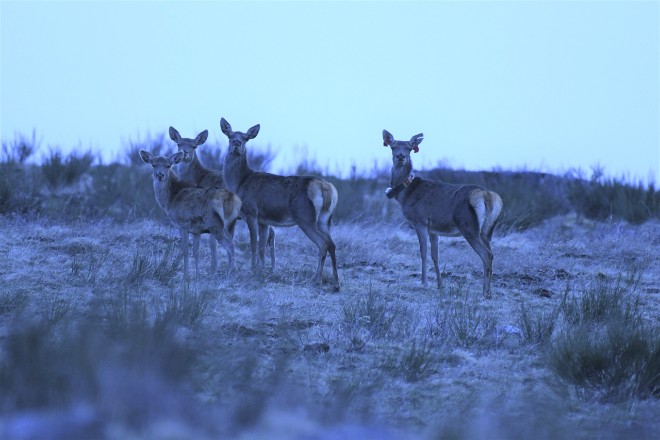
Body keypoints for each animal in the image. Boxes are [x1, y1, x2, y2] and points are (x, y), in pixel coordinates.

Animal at [139, 148, 242, 278]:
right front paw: (197, 275)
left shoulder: (182, 224)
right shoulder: (196, 230)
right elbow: (196, 252)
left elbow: (185, 251)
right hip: (230, 224)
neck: (171, 200)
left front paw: (186, 276)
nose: (160, 175)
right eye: (153, 164)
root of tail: (232, 199)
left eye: (168, 165)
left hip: (215, 224)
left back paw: (230, 273)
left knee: (230, 246)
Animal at [170, 126, 276, 272]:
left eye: (194, 146)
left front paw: (214, 268)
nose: (185, 153)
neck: (197, 179)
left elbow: (212, 242)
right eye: (179, 144)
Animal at [222, 116, 340, 292]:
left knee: (323, 243)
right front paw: (261, 272)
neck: (240, 183)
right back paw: (335, 283)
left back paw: (317, 280)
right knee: (332, 244)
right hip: (325, 219)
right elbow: (262, 247)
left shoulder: (251, 212)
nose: (237, 143)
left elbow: (253, 244)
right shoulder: (263, 220)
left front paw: (252, 271)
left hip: (305, 217)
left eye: (246, 138)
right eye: (230, 136)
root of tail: (326, 188)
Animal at [382, 129, 500, 298]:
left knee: (487, 255)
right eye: (393, 146)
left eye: (409, 148)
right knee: (491, 253)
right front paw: (440, 284)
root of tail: (486, 196)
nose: (400, 157)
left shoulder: (421, 221)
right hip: (487, 231)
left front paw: (424, 282)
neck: (405, 195)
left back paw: (485, 292)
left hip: (469, 226)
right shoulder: (434, 229)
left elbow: (423, 252)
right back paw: (488, 290)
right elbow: (435, 255)